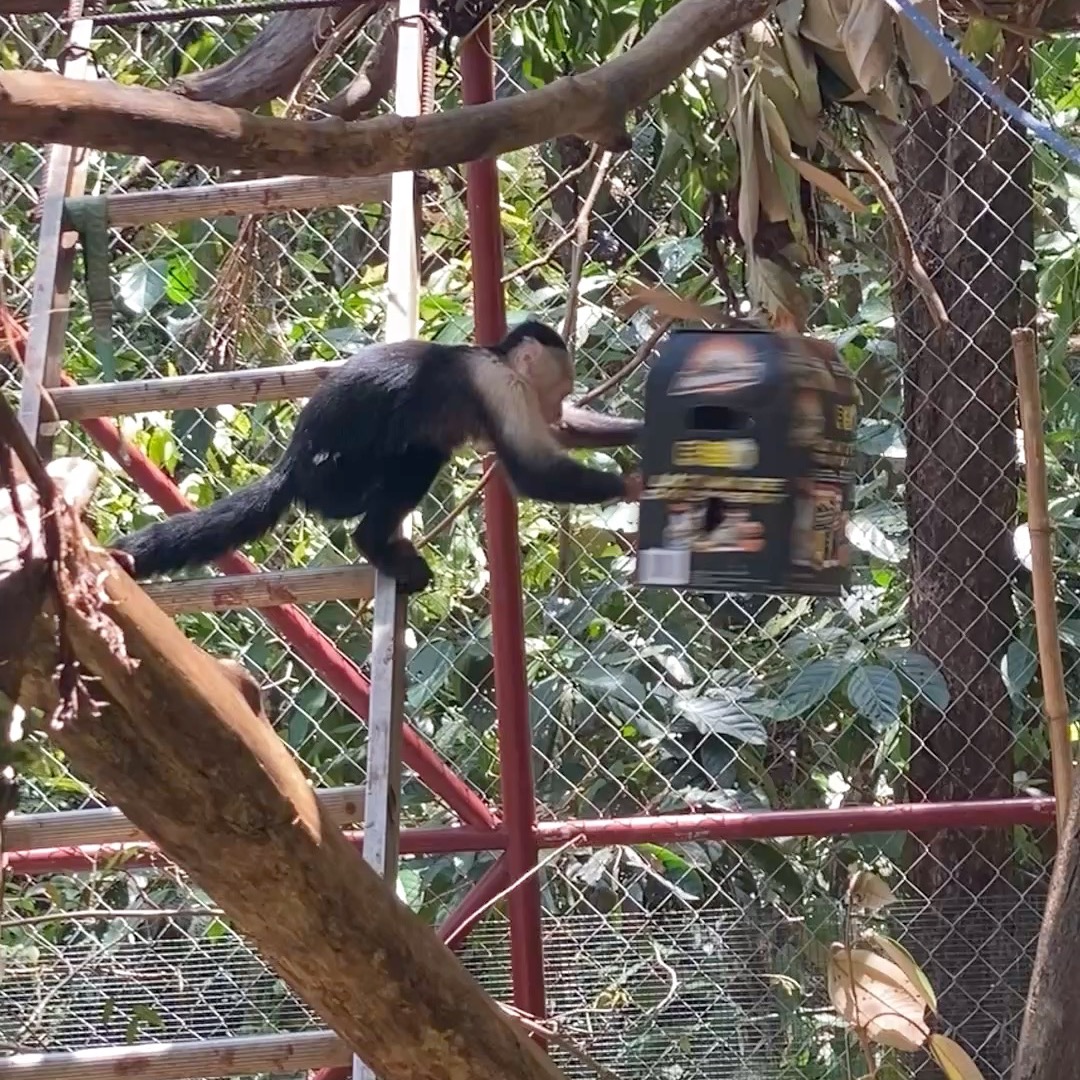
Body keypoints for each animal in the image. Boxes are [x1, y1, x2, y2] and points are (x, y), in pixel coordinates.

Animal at [110, 321, 638, 594]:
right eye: (561, 388)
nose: (555, 406)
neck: (495, 356)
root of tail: (293, 464)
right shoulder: (502, 387)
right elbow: (531, 472)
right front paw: (633, 485)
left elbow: (562, 436)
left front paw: (643, 433)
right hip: (337, 480)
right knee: (418, 456)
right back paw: (373, 543)